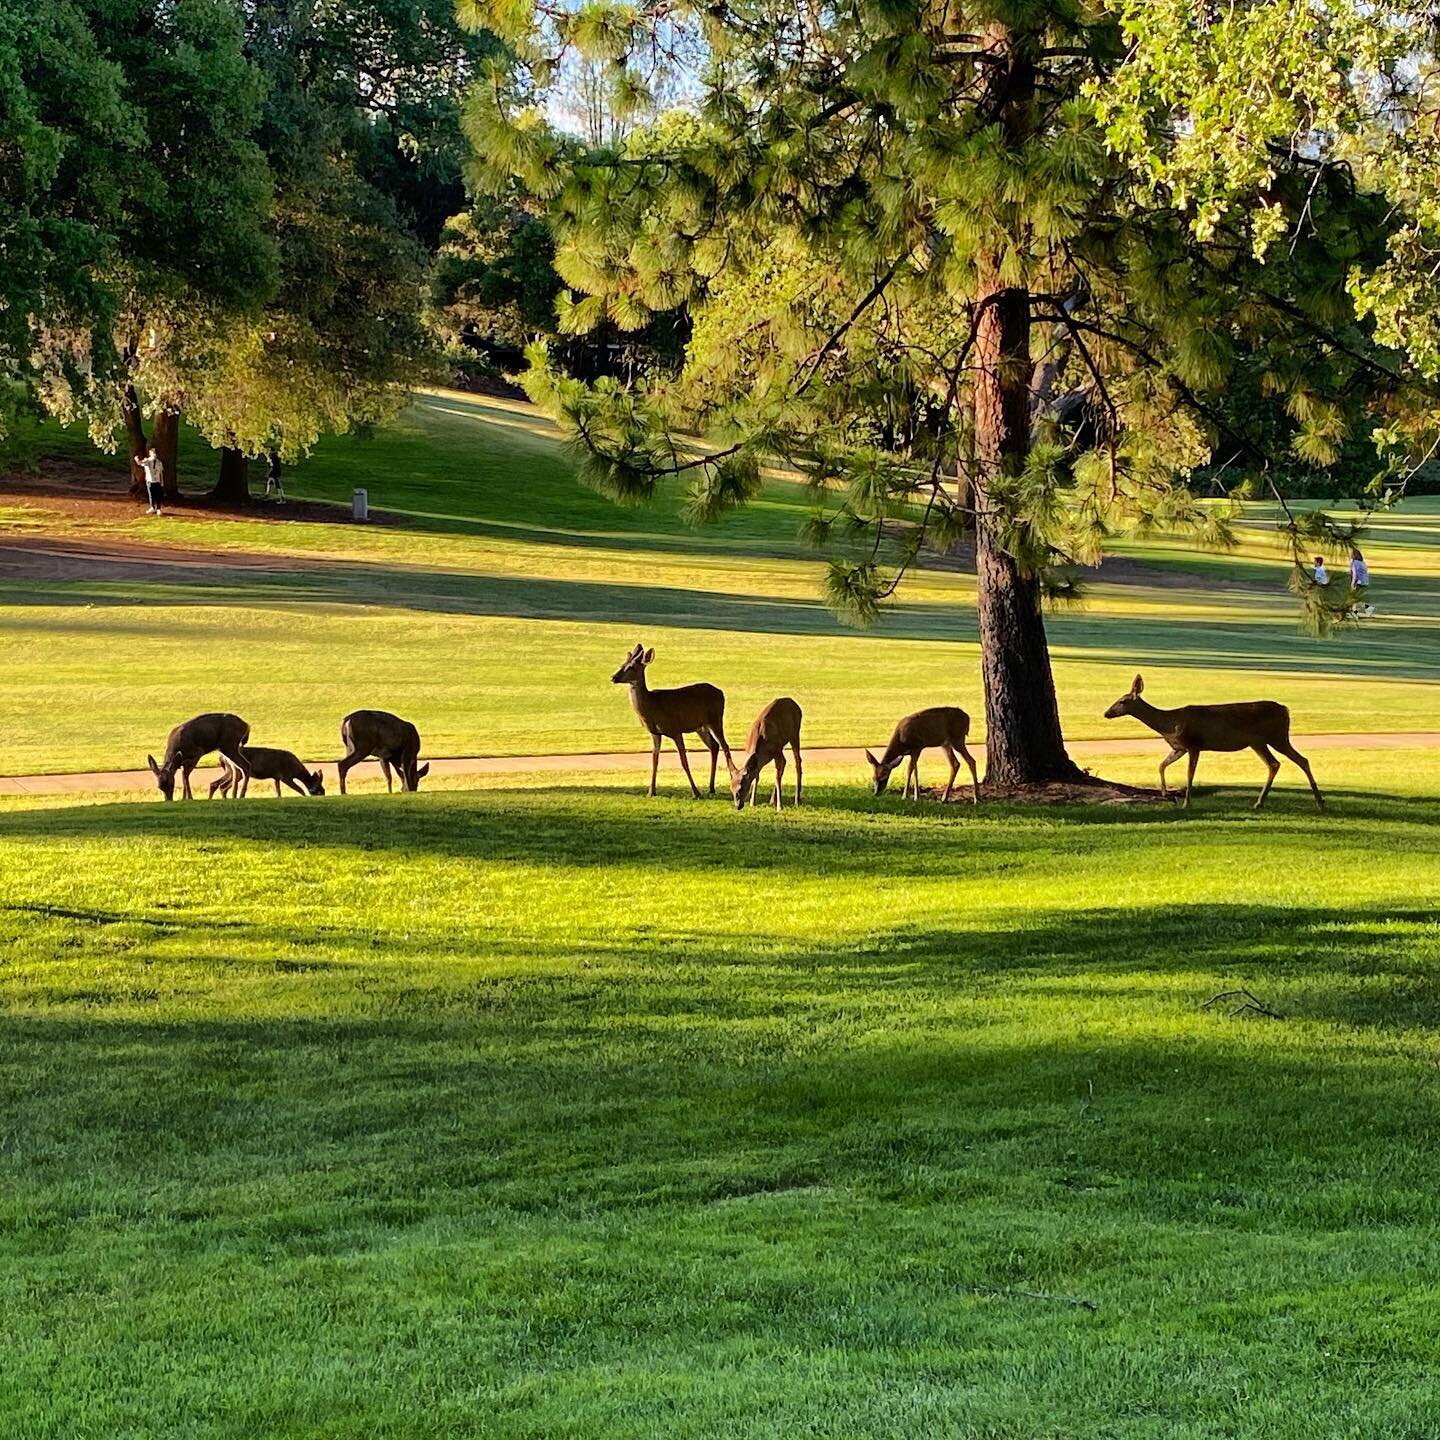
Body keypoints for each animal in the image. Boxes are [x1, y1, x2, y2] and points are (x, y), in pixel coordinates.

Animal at [607, 645, 731, 800]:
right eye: (622, 664)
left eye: (632, 667)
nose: (613, 677)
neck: (652, 707)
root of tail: (721, 692)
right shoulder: (655, 733)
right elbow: (654, 760)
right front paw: (651, 792)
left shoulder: (675, 729)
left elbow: (684, 761)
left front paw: (695, 792)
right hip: (701, 727)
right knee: (714, 746)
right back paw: (711, 788)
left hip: (715, 719)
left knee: (725, 746)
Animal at [1100, 673, 1324, 812]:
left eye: (1122, 701)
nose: (1106, 713)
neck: (1169, 724)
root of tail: (1286, 710)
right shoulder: (1179, 748)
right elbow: (1161, 764)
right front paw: (1165, 793)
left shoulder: (1194, 744)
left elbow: (1189, 774)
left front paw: (1186, 803)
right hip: (1258, 742)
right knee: (1275, 764)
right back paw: (1260, 803)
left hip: (1277, 736)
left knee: (1301, 760)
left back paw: (1319, 802)